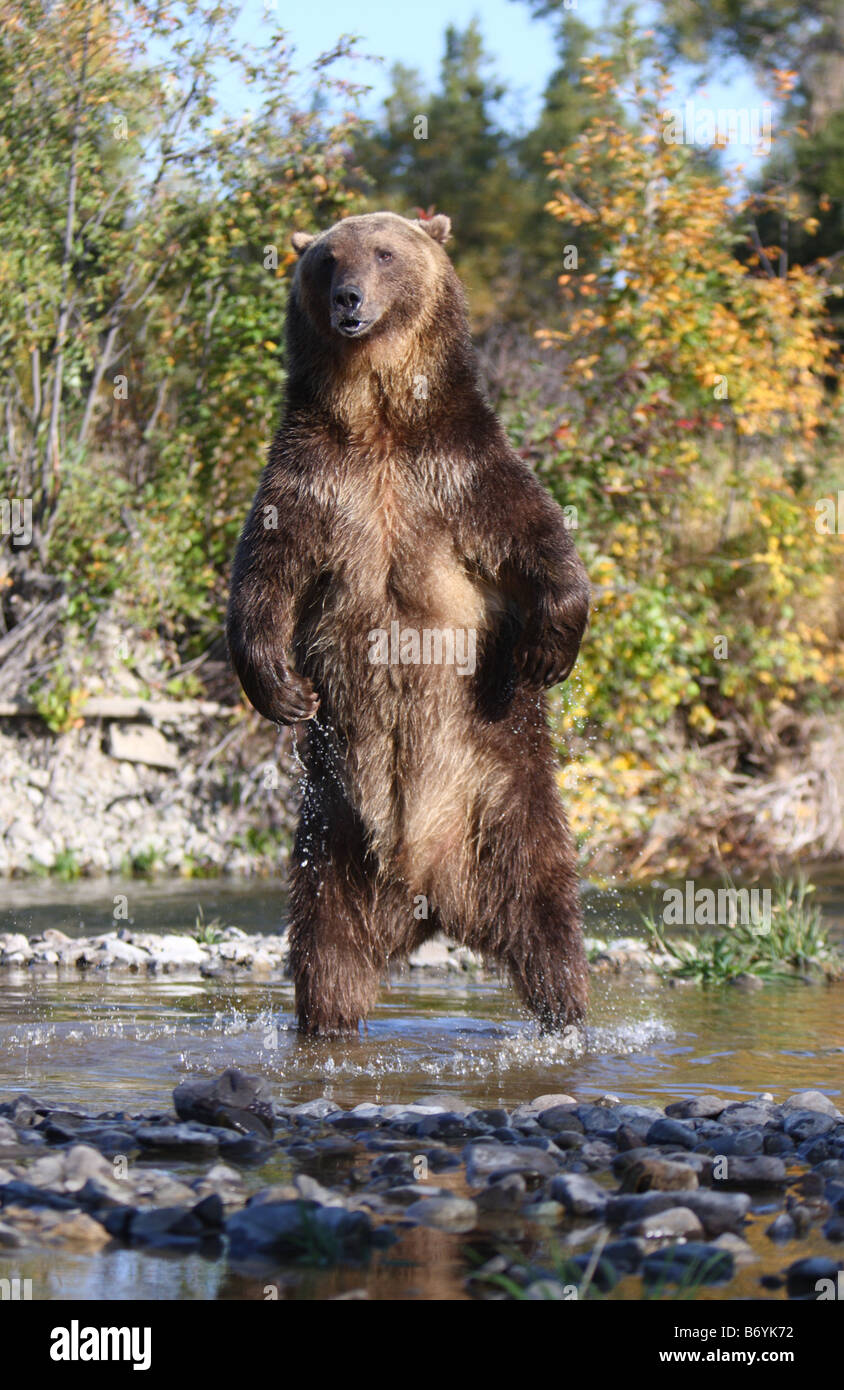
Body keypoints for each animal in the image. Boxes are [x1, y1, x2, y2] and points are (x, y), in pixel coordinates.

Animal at [228, 205, 592, 1034]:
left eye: (385, 252)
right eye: (327, 260)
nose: (349, 300)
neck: (380, 418)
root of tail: (429, 895)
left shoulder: (458, 473)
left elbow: (537, 539)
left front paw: (548, 648)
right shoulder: (316, 482)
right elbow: (263, 574)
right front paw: (283, 688)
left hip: (506, 805)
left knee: (549, 926)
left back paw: (567, 1013)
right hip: (330, 843)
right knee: (325, 955)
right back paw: (327, 1020)